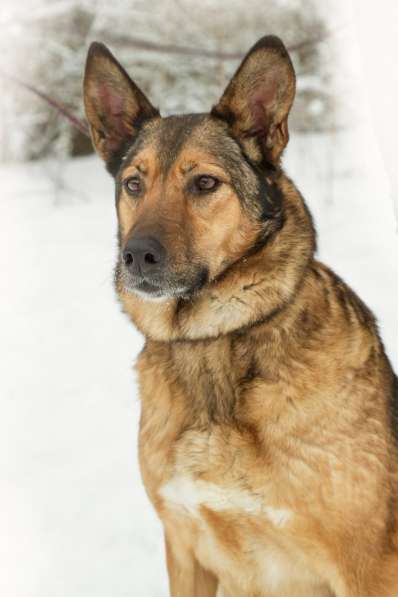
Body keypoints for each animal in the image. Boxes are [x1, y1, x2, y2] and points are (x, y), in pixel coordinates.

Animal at [83, 35, 398, 592]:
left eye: (206, 184)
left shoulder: (367, 569)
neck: (216, 339)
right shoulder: (184, 548)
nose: (135, 257)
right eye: (133, 184)